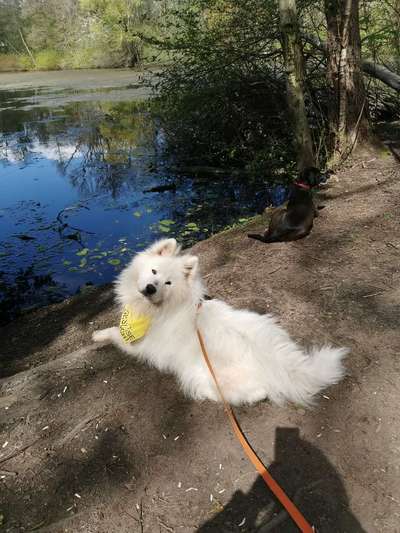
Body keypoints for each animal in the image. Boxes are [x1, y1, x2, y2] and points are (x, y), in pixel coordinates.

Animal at [92, 239, 346, 406]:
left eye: (167, 283)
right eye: (153, 271)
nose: (150, 288)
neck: (157, 308)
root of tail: (275, 361)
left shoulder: (139, 345)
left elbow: (114, 333)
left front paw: (98, 336)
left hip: (204, 374)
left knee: (251, 394)